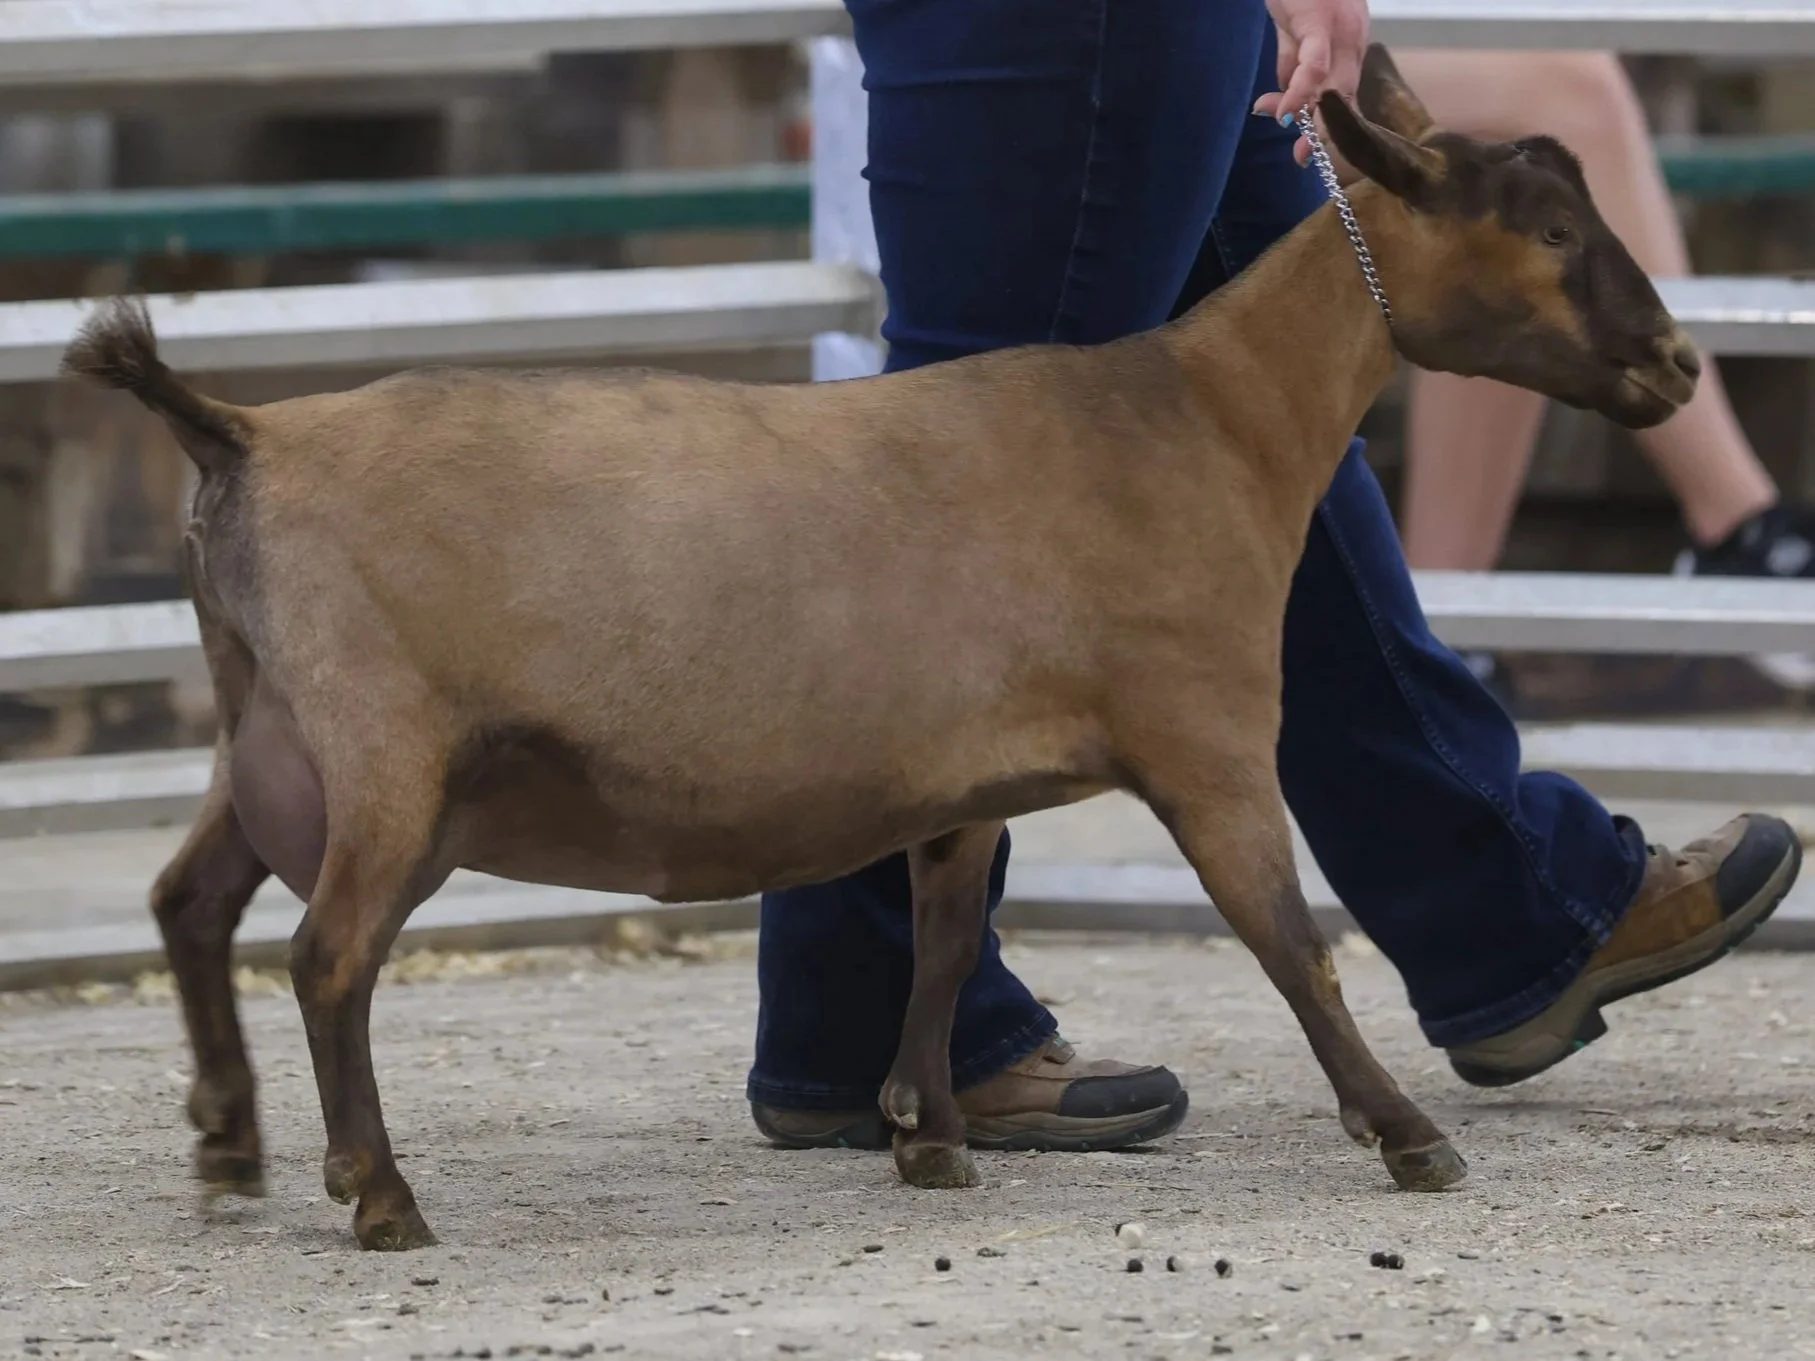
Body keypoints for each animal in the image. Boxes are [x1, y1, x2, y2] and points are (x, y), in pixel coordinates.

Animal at [62, 45, 1699, 1252]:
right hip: (384, 747)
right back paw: (379, 1195)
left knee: (188, 900)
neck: (1209, 418)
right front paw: (1408, 1137)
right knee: (327, 955)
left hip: (270, 720)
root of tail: (245, 433)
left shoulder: (962, 770)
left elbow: (943, 925)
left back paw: (228, 1144)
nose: (1678, 362)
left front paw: (926, 1131)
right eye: (1553, 233)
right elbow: (1287, 937)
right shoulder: (1208, 731)